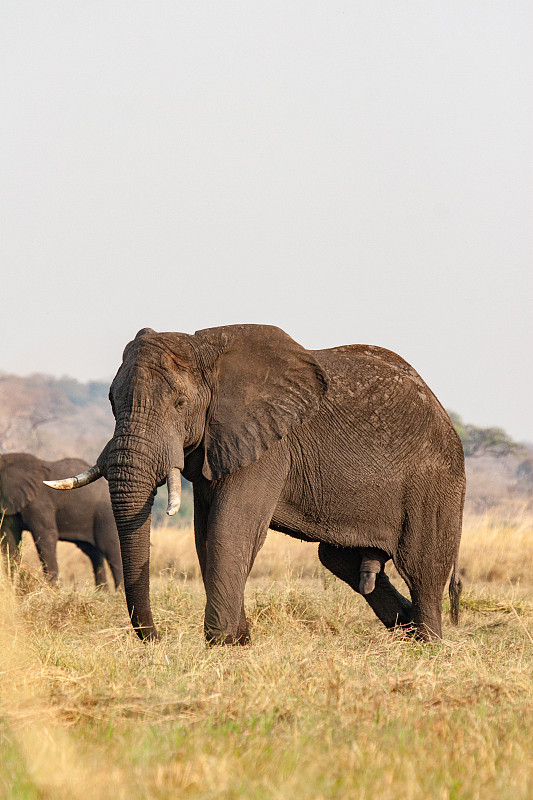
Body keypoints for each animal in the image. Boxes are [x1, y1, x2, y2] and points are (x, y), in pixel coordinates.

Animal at [0, 454, 122, 592]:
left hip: (106, 516)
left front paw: (52, 590)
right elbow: (9, 540)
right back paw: (102, 593)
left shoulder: (39, 501)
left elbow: (46, 536)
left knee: (111, 551)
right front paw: (14, 587)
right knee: (94, 554)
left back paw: (119, 593)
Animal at [47, 322, 464, 640]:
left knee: (423, 569)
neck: (204, 351)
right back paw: (405, 628)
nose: (156, 638)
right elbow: (205, 534)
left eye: (180, 404)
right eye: (111, 401)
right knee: (339, 560)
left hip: (434, 483)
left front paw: (221, 643)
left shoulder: (267, 444)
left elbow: (230, 529)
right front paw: (240, 641)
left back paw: (427, 644)